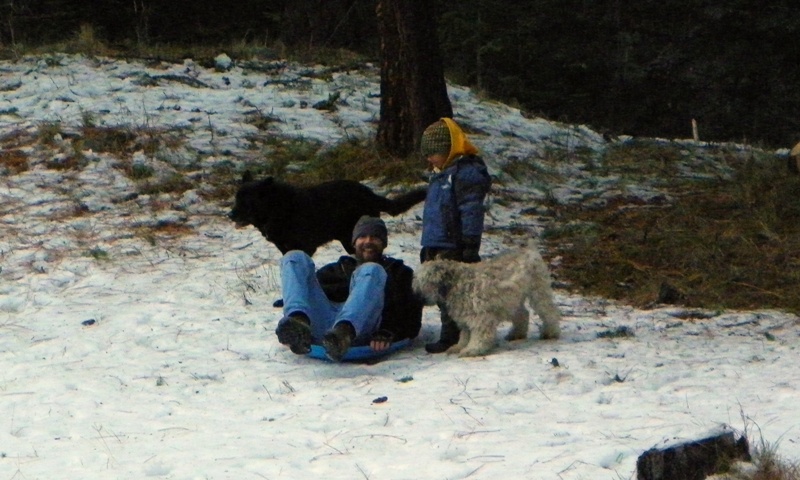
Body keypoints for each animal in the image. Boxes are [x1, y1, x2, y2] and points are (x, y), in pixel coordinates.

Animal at [228, 175, 428, 256]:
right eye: (236, 199)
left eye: (246, 202)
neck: (277, 209)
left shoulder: (306, 247)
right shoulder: (285, 248)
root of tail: (370, 194)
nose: (229, 215)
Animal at [412, 248, 564, 356]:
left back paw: (550, 332)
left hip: (538, 292)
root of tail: (530, 250)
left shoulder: (480, 317)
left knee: (549, 311)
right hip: (511, 300)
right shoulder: (465, 318)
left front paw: (472, 350)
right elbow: (465, 335)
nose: (419, 299)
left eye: (427, 281)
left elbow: (479, 336)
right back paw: (516, 334)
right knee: (523, 314)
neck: (457, 284)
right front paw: (459, 347)